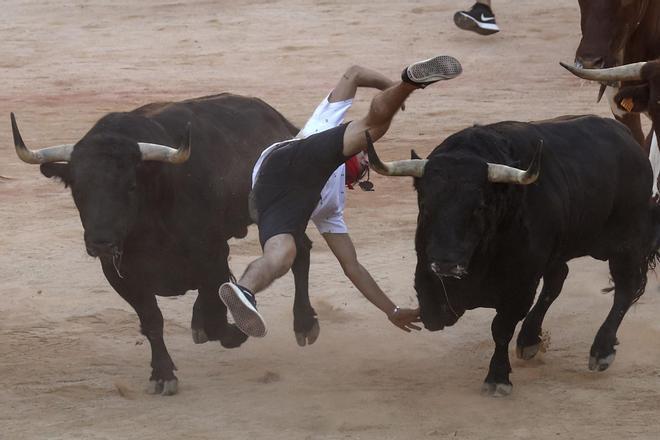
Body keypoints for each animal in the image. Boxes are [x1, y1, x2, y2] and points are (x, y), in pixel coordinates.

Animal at [10, 93, 320, 396]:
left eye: (131, 185)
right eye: (77, 188)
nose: (101, 243)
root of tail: (281, 123)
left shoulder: (213, 256)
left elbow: (217, 318)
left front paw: (236, 331)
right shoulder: (119, 274)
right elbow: (152, 320)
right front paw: (162, 374)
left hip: (283, 210)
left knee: (300, 252)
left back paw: (305, 324)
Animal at [368, 116, 660, 396]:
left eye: (479, 207)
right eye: (425, 205)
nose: (446, 265)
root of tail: (629, 139)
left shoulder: (520, 286)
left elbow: (501, 328)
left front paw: (497, 378)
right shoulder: (427, 276)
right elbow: (435, 311)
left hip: (626, 240)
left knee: (625, 288)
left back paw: (601, 350)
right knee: (558, 279)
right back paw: (529, 339)